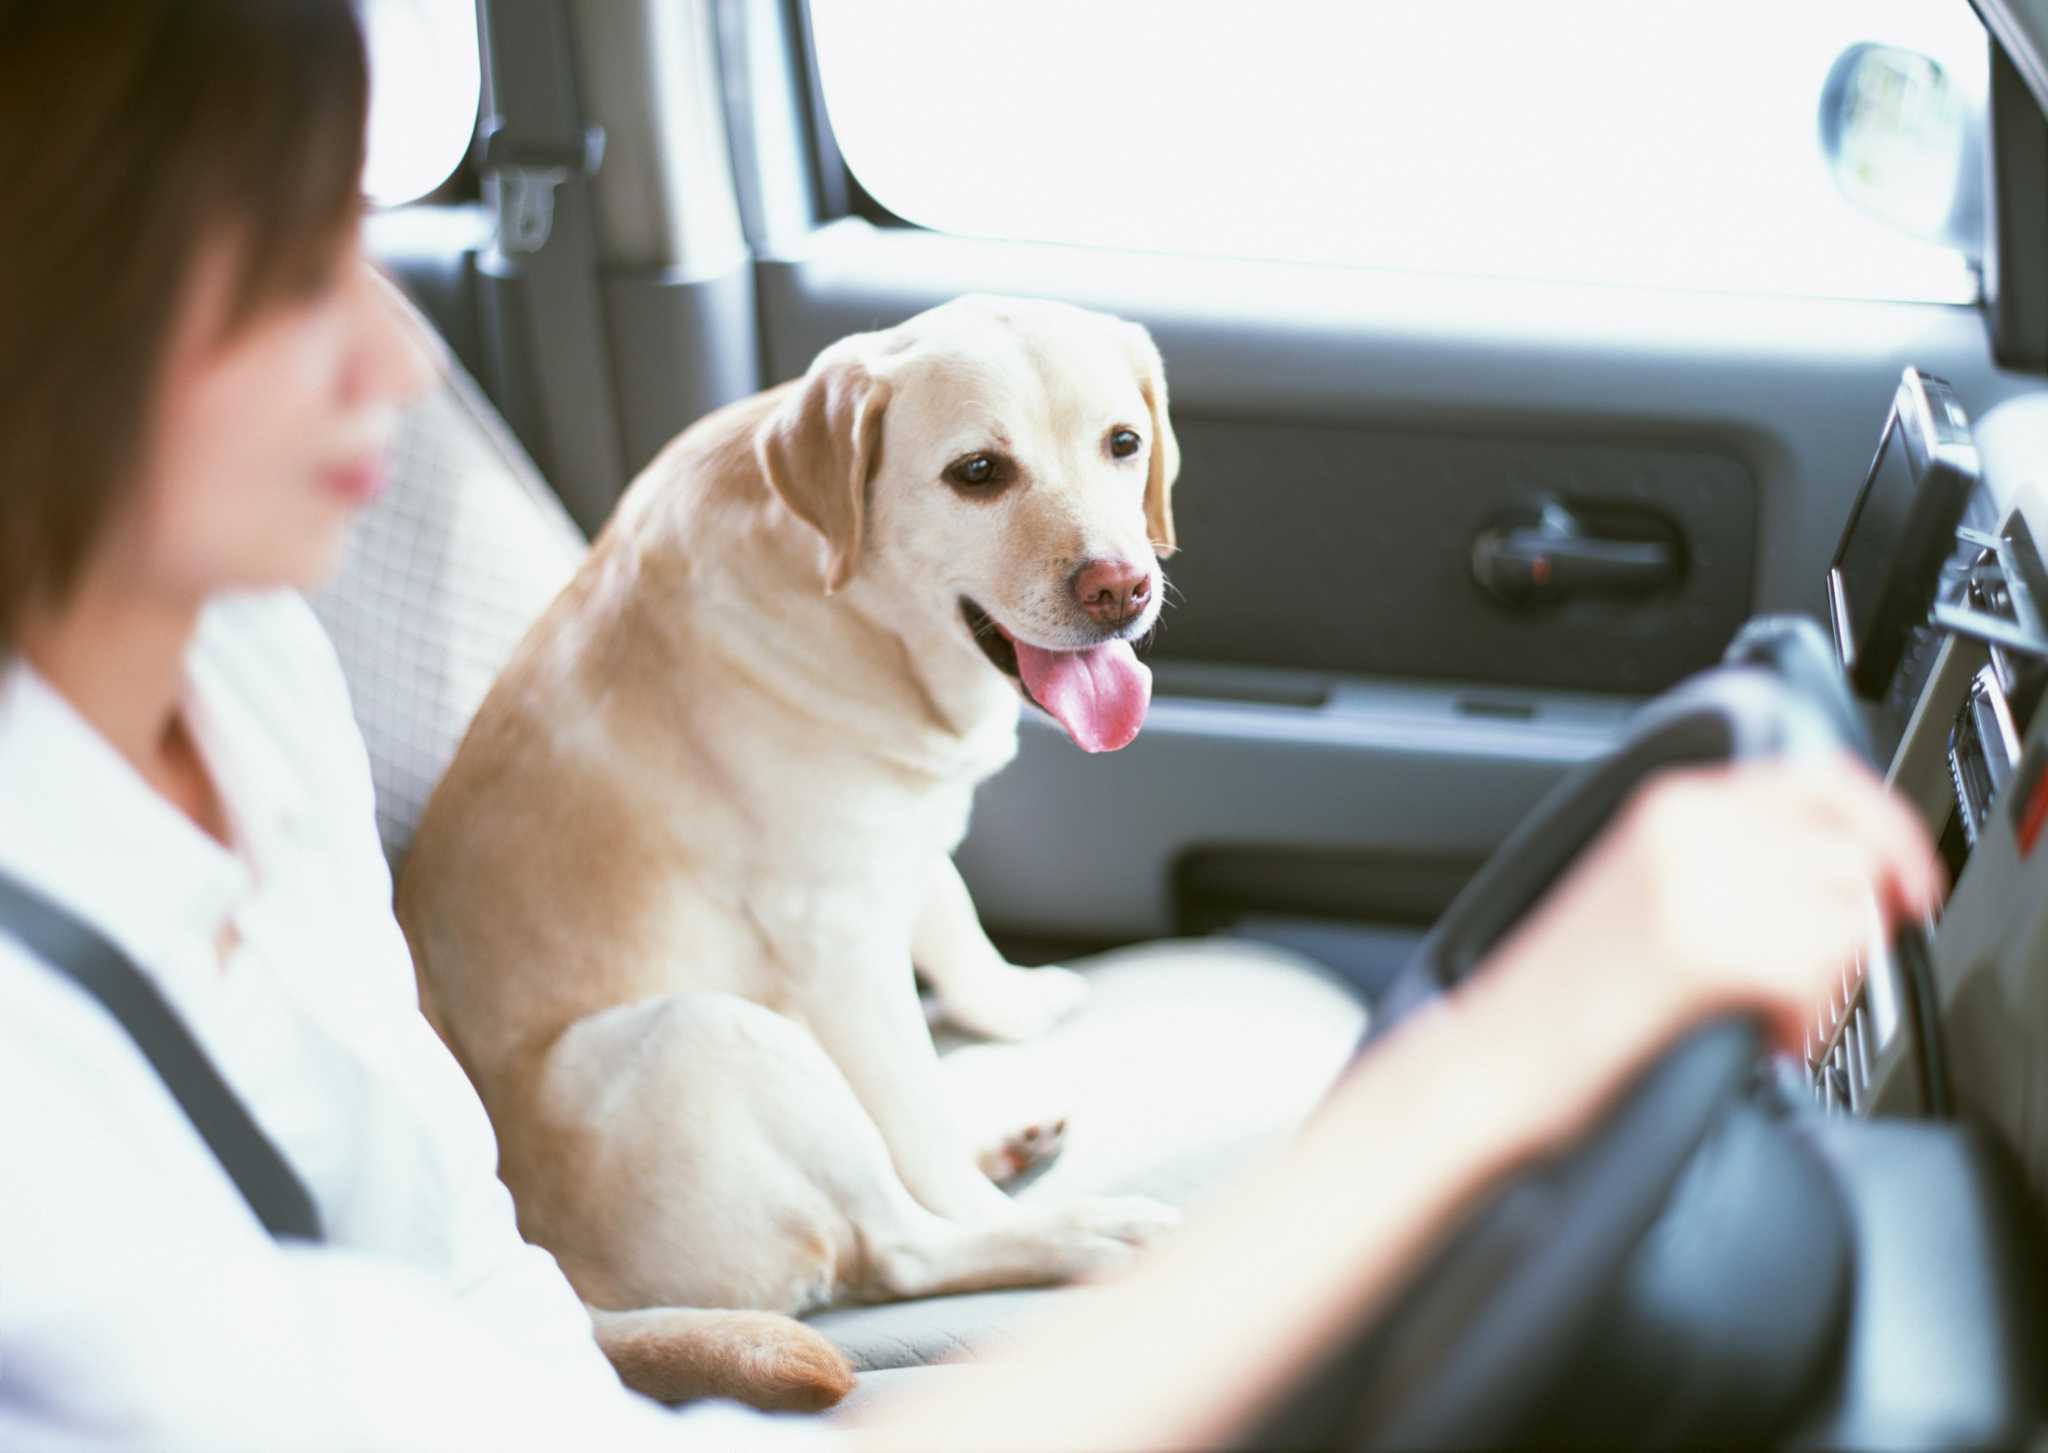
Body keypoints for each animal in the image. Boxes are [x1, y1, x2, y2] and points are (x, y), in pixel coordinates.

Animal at [395, 295, 1187, 1401]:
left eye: (1123, 442)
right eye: (978, 472)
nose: (1122, 586)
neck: (860, 607)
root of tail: (552, 1290)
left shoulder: (900, 840)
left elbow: (950, 916)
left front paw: (1009, 1000)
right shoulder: (838, 941)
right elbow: (920, 1137)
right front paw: (997, 1196)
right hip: (711, 1034)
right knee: (898, 1239)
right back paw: (1075, 1228)